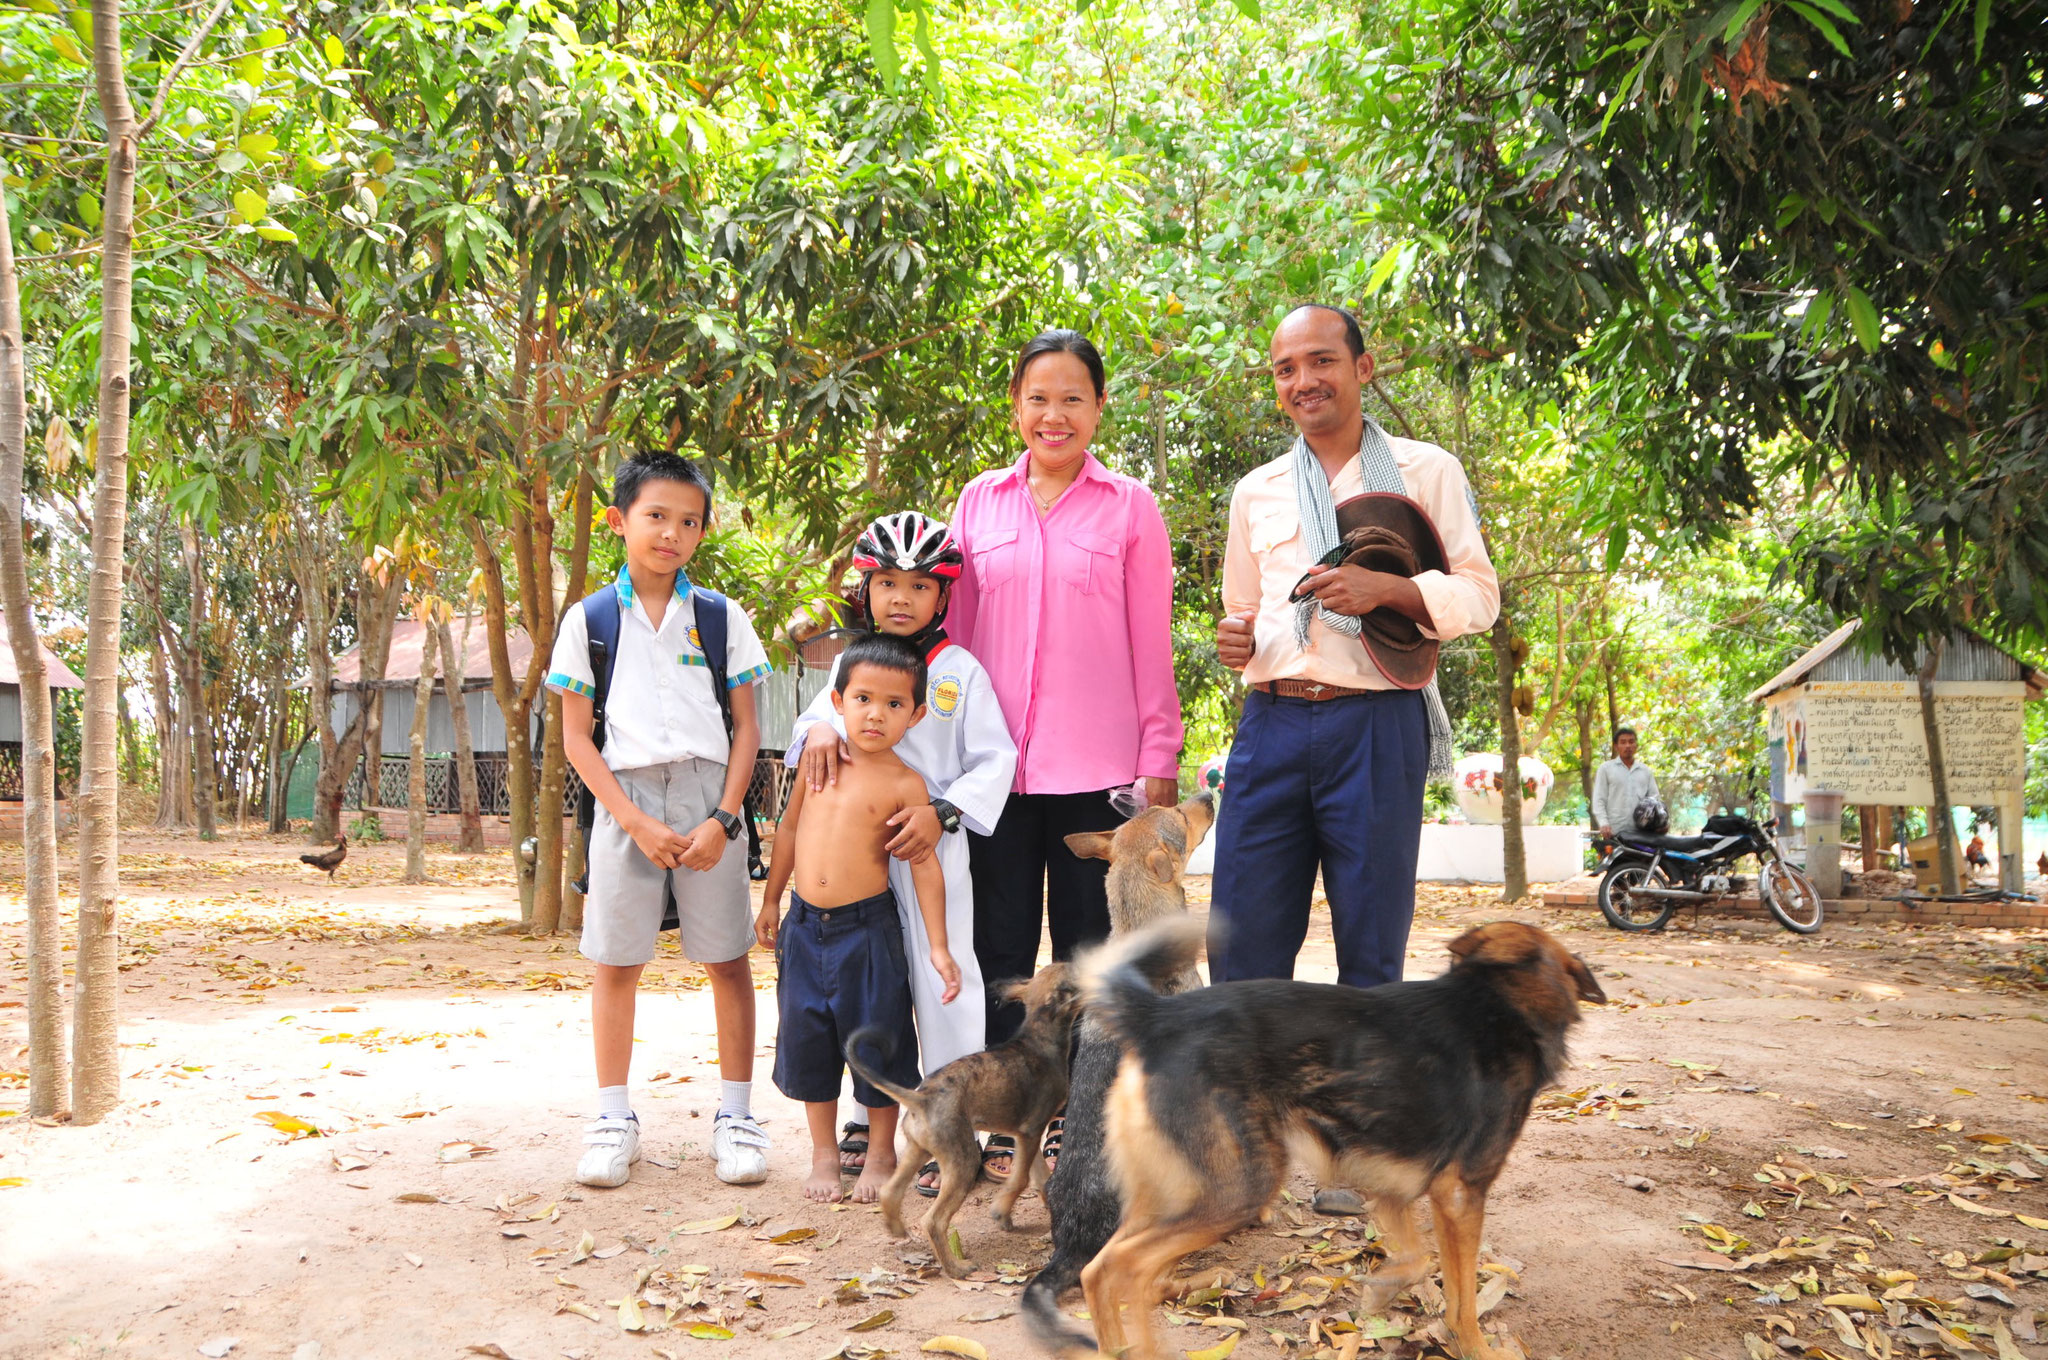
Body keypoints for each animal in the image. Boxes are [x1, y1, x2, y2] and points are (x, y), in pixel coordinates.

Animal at [843, 966, 1089, 1278]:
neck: (1038, 1038)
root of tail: (920, 1097)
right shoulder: (1031, 1132)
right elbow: (1021, 1179)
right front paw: (1001, 1211)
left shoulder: (1027, 1136)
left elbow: (1041, 1179)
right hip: (963, 1162)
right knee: (933, 1221)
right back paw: (956, 1268)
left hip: (917, 1150)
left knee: (889, 1192)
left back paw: (896, 1228)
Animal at [1056, 913, 1613, 1360]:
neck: (1497, 1005)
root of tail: (1160, 1018)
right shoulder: (1460, 1193)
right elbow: (1462, 1300)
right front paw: (1474, 1347)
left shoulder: (1393, 1192)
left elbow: (1417, 1259)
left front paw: (1381, 1291)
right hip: (1235, 1192)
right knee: (1125, 1271)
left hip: (1169, 1195)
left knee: (1098, 1271)